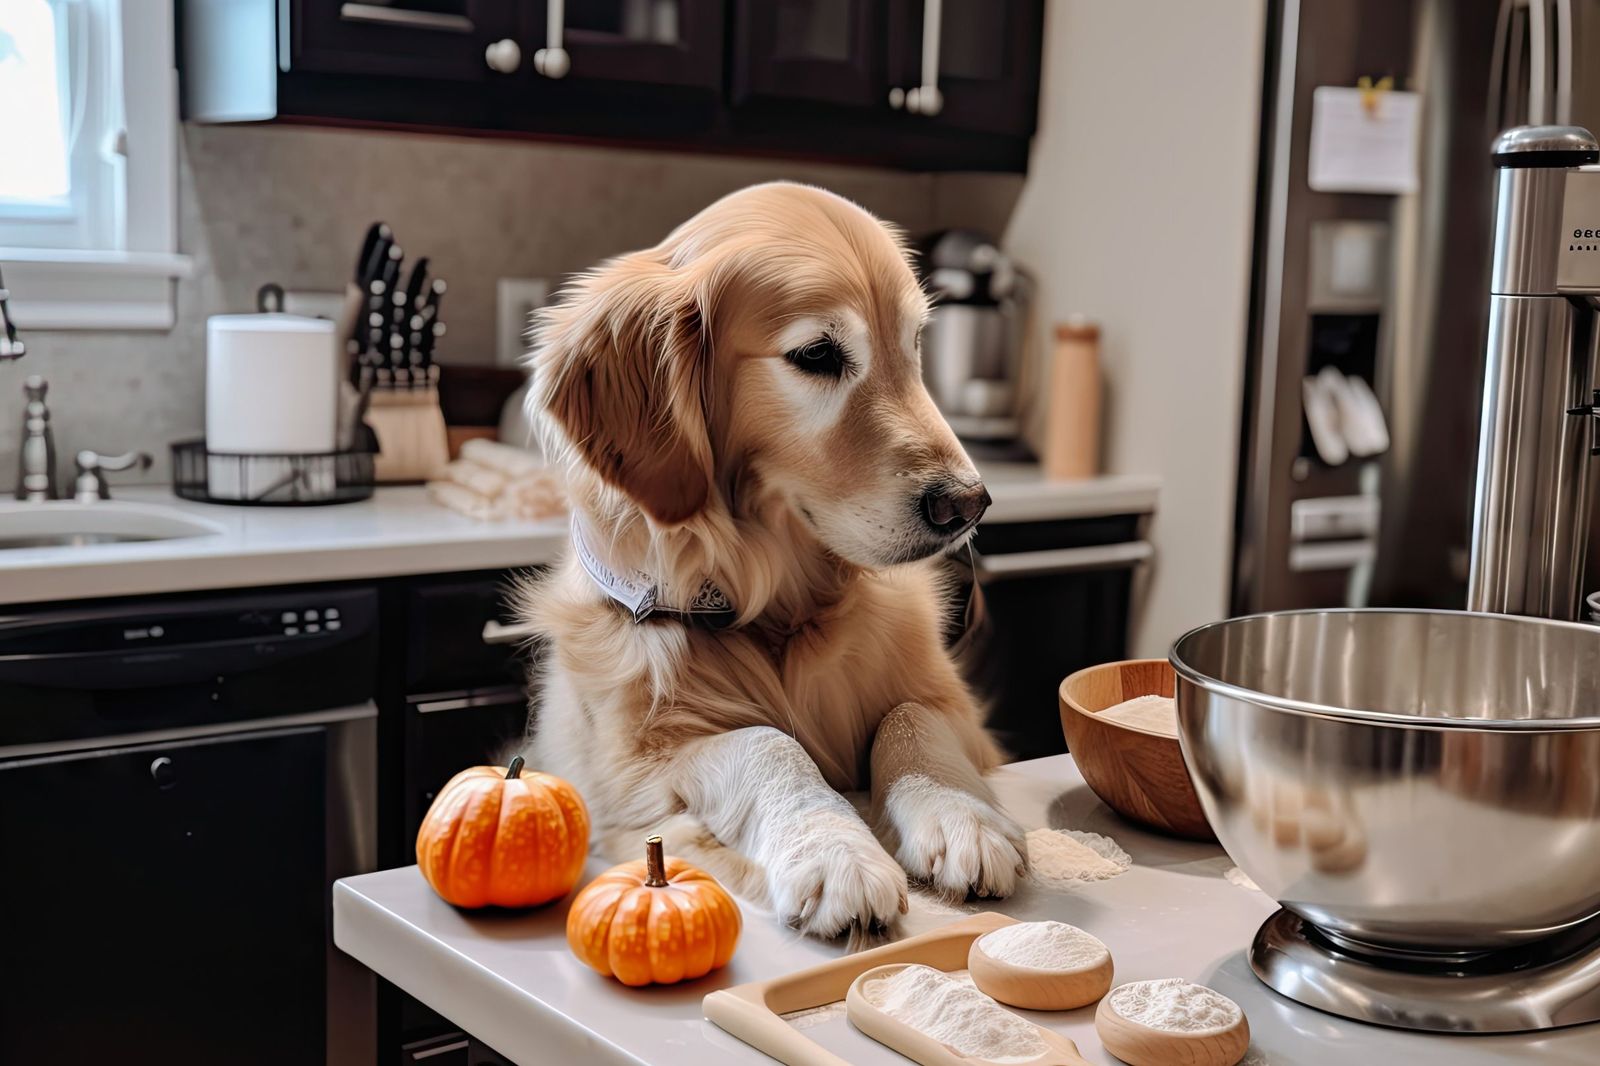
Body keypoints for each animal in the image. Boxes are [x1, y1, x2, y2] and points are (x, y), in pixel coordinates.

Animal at [518, 184, 1030, 941]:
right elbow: (766, 743)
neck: (780, 611)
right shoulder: (632, 771)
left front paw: (961, 817)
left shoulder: (957, 709)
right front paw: (835, 852)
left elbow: (911, 714)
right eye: (817, 354)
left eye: (913, 344)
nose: (969, 504)